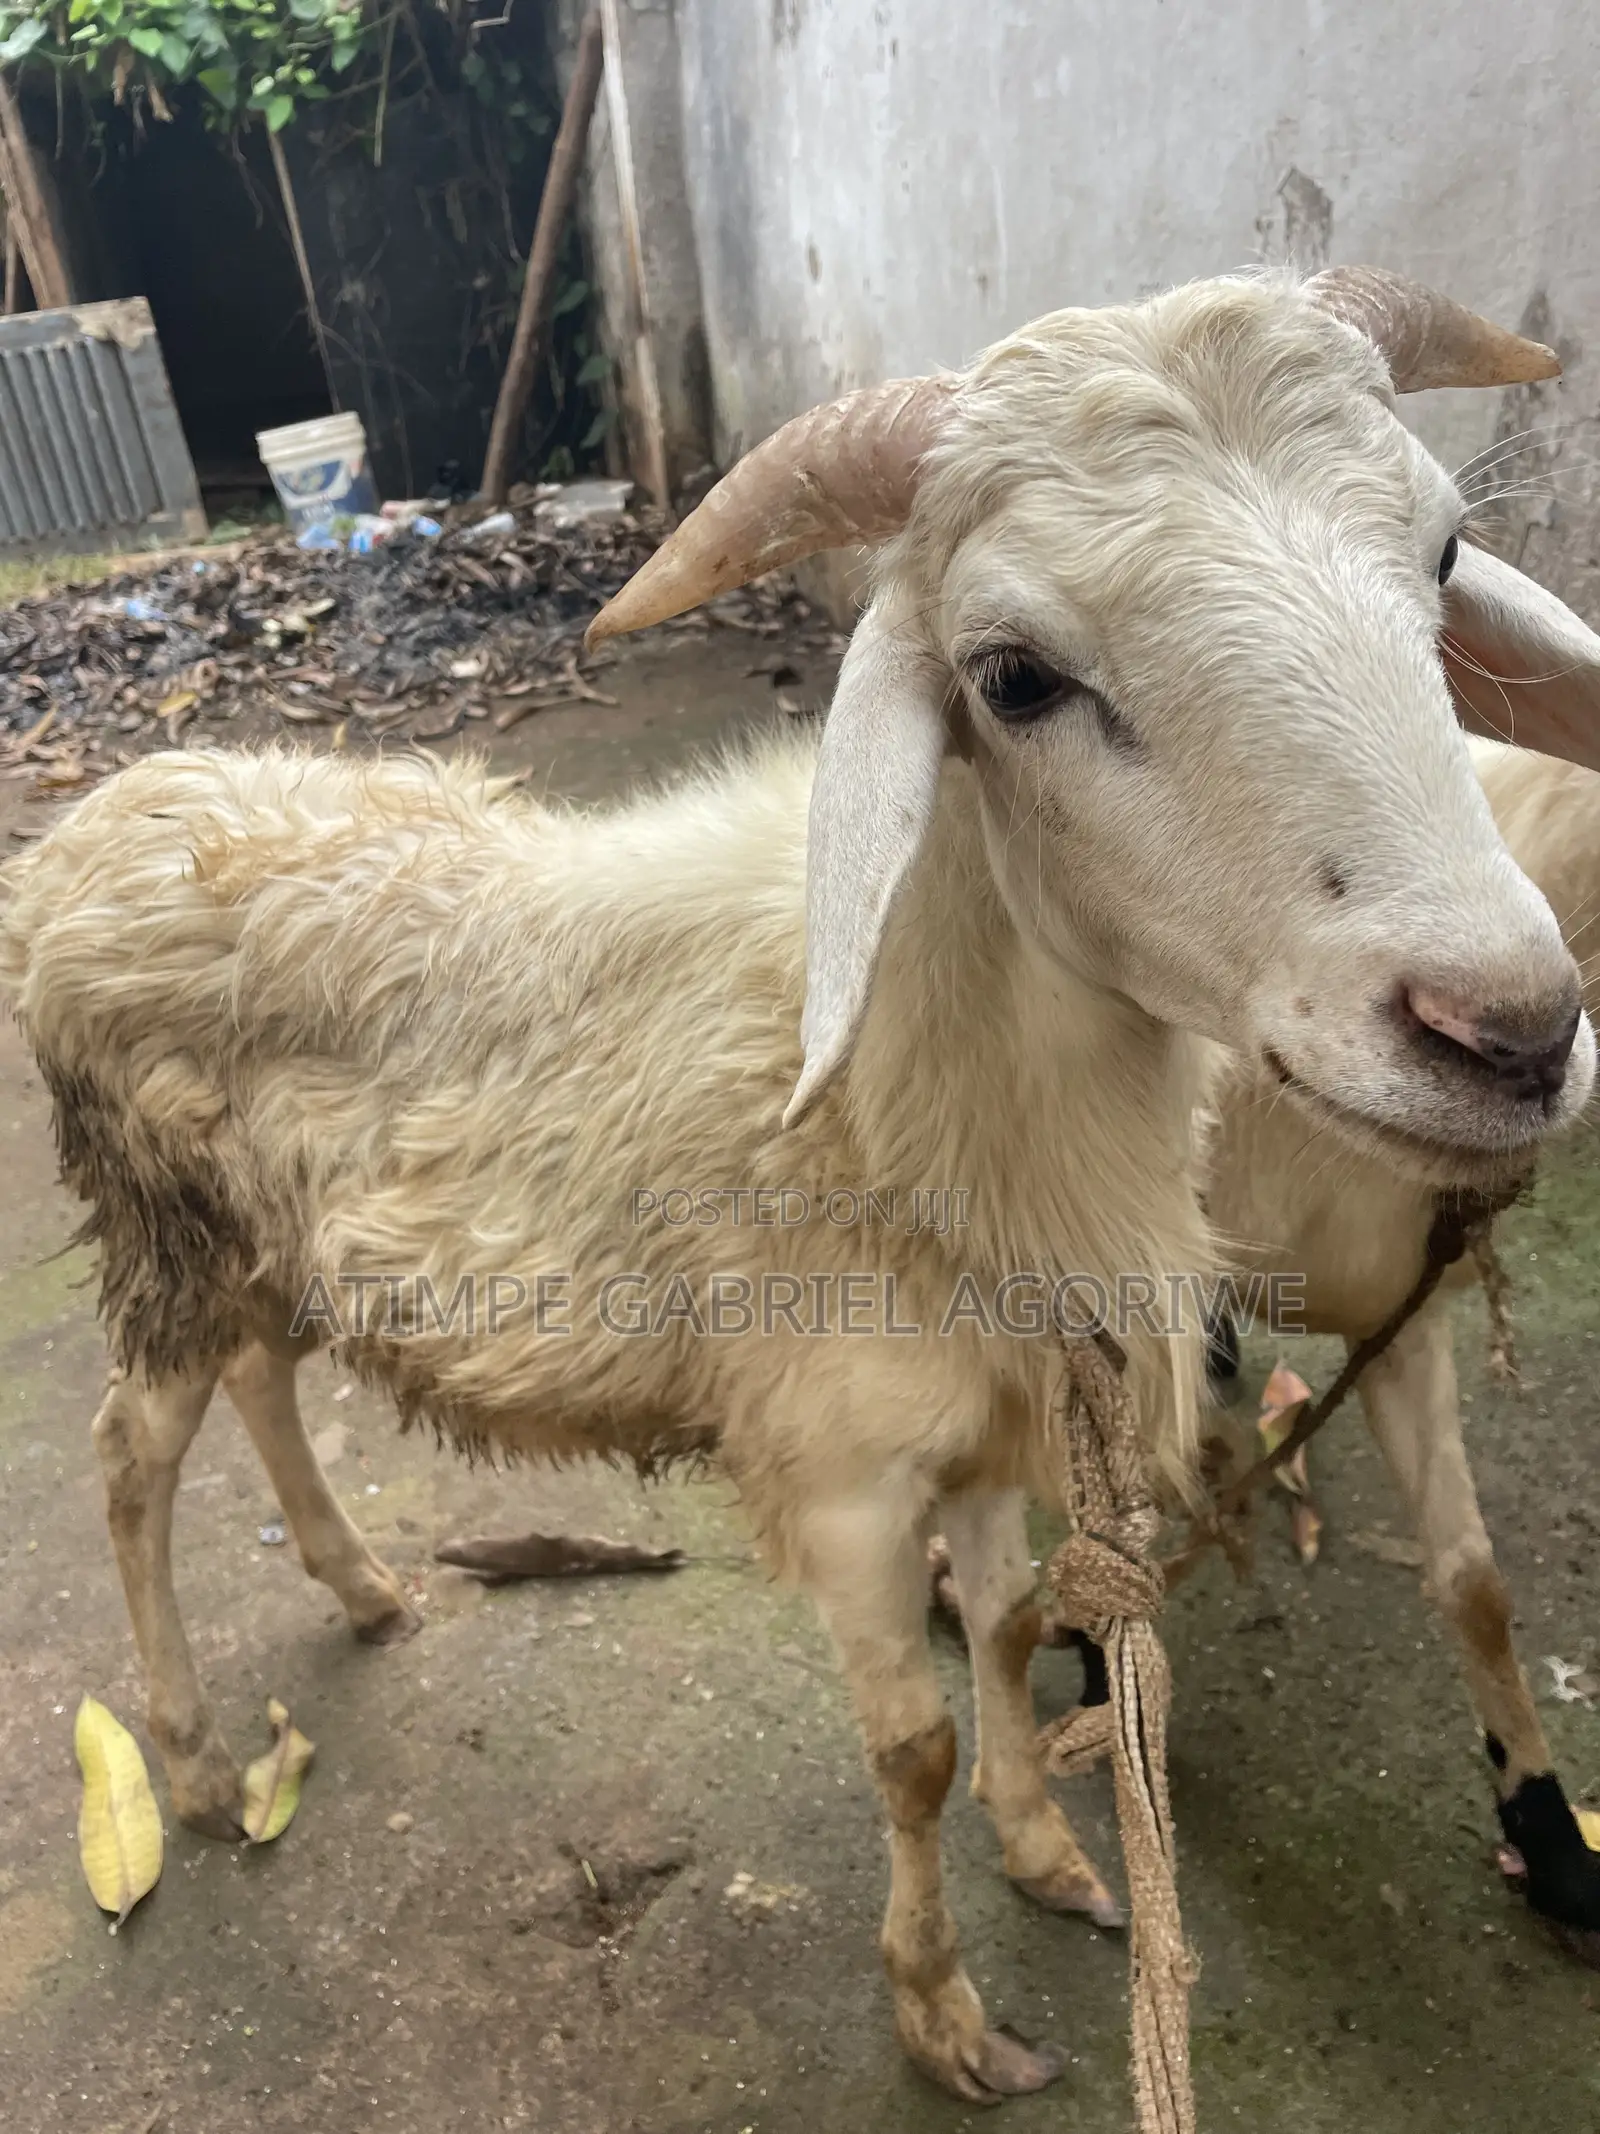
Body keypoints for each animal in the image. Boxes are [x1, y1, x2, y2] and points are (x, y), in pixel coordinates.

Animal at [6, 267, 1600, 2101]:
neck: (909, 1072)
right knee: (129, 1458)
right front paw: (944, 2008)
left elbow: (1004, 1634)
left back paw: (358, 1580)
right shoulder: (839, 1471)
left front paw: (1050, 1852)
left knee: (268, 1378)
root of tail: (107, 812)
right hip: (162, 1233)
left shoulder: (999, 1423)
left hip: (262, 1245)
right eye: (1015, 676)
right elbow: (908, 1745)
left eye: (1442, 551)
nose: (1509, 1029)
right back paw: (198, 1759)